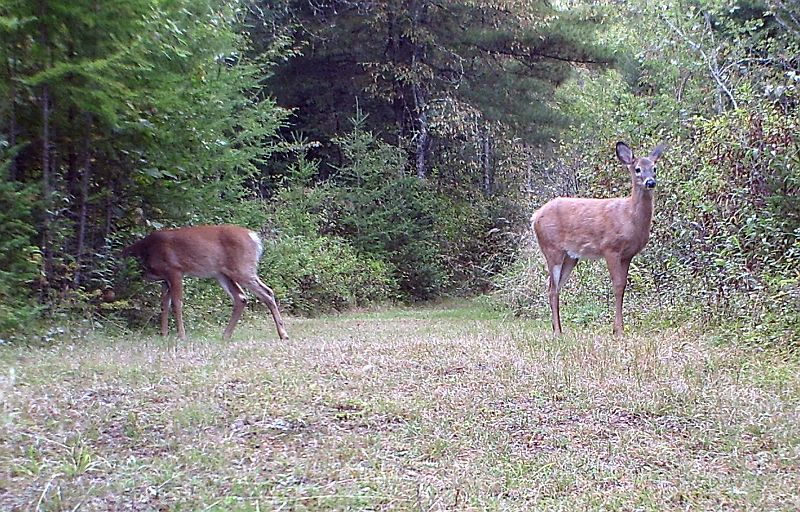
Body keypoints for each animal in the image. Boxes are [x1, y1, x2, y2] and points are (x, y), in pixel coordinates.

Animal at [120, 223, 290, 340]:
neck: (145, 250)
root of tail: (254, 237)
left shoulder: (175, 270)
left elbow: (177, 303)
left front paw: (181, 335)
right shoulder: (165, 280)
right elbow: (164, 305)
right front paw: (164, 334)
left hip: (243, 268)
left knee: (267, 292)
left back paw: (283, 334)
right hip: (222, 273)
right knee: (241, 297)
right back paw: (226, 335)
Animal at [532, 142, 664, 338]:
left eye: (654, 168)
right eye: (638, 169)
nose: (650, 182)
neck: (629, 217)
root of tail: (534, 217)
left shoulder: (627, 255)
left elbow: (623, 286)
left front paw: (617, 328)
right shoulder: (610, 247)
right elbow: (617, 286)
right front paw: (619, 331)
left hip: (570, 256)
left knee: (556, 287)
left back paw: (559, 329)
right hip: (551, 248)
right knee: (552, 288)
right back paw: (557, 332)